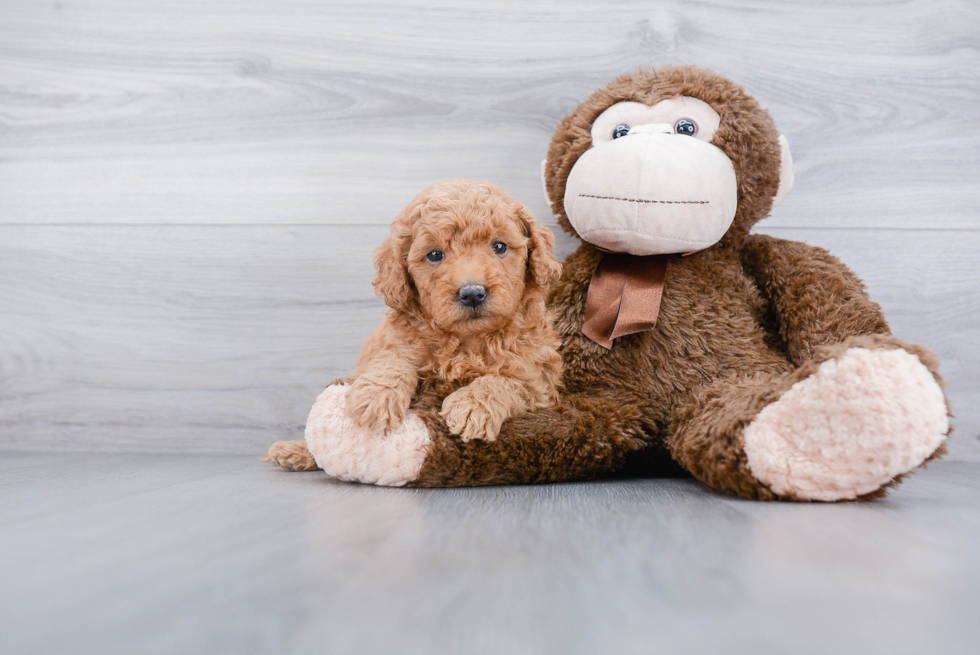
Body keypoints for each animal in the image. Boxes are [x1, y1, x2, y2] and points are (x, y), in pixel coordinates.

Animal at [264, 179, 564, 472]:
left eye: (500, 247)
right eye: (434, 255)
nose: (472, 293)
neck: (466, 340)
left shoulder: (538, 379)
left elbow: (505, 382)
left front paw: (472, 406)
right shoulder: (397, 339)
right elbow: (393, 360)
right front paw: (376, 396)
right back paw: (294, 451)